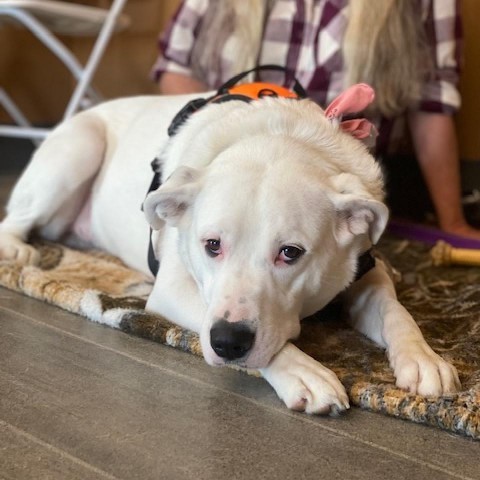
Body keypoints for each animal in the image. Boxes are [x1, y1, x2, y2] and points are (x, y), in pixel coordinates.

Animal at [0, 81, 460, 412]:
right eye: (212, 245)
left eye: (290, 252)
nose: (228, 343)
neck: (277, 135)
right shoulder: (175, 291)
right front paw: (302, 371)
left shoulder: (363, 270)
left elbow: (394, 311)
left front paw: (422, 357)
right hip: (79, 147)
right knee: (15, 219)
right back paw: (17, 250)